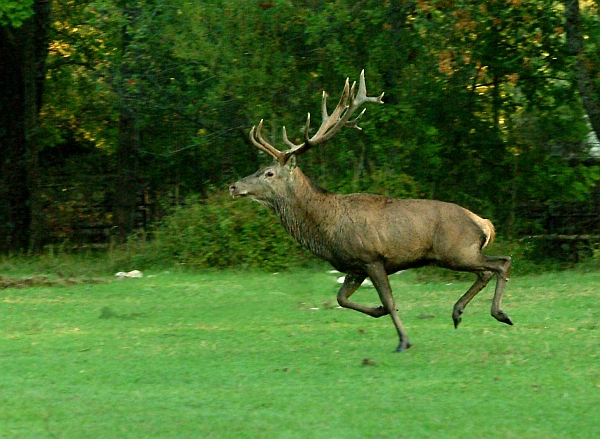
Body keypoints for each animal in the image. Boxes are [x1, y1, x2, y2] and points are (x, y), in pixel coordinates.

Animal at [229, 72, 510, 354]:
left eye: (268, 173)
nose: (234, 186)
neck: (324, 230)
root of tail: (484, 223)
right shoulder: (354, 266)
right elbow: (342, 299)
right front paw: (379, 311)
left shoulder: (371, 257)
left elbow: (388, 299)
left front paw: (403, 341)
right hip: (459, 254)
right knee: (487, 270)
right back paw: (458, 312)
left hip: (457, 251)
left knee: (501, 263)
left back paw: (499, 313)